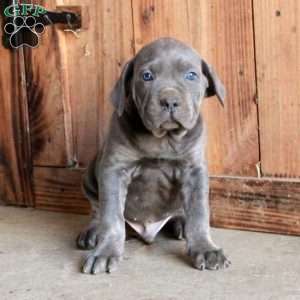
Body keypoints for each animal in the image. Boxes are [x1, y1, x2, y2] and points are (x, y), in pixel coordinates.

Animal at [77, 37, 230, 274]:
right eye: (147, 76)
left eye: (191, 75)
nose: (170, 101)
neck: (163, 138)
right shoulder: (114, 170)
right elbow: (111, 217)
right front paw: (106, 252)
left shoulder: (194, 171)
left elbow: (199, 213)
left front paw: (205, 249)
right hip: (91, 174)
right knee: (97, 208)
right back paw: (93, 231)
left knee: (181, 210)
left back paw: (181, 222)